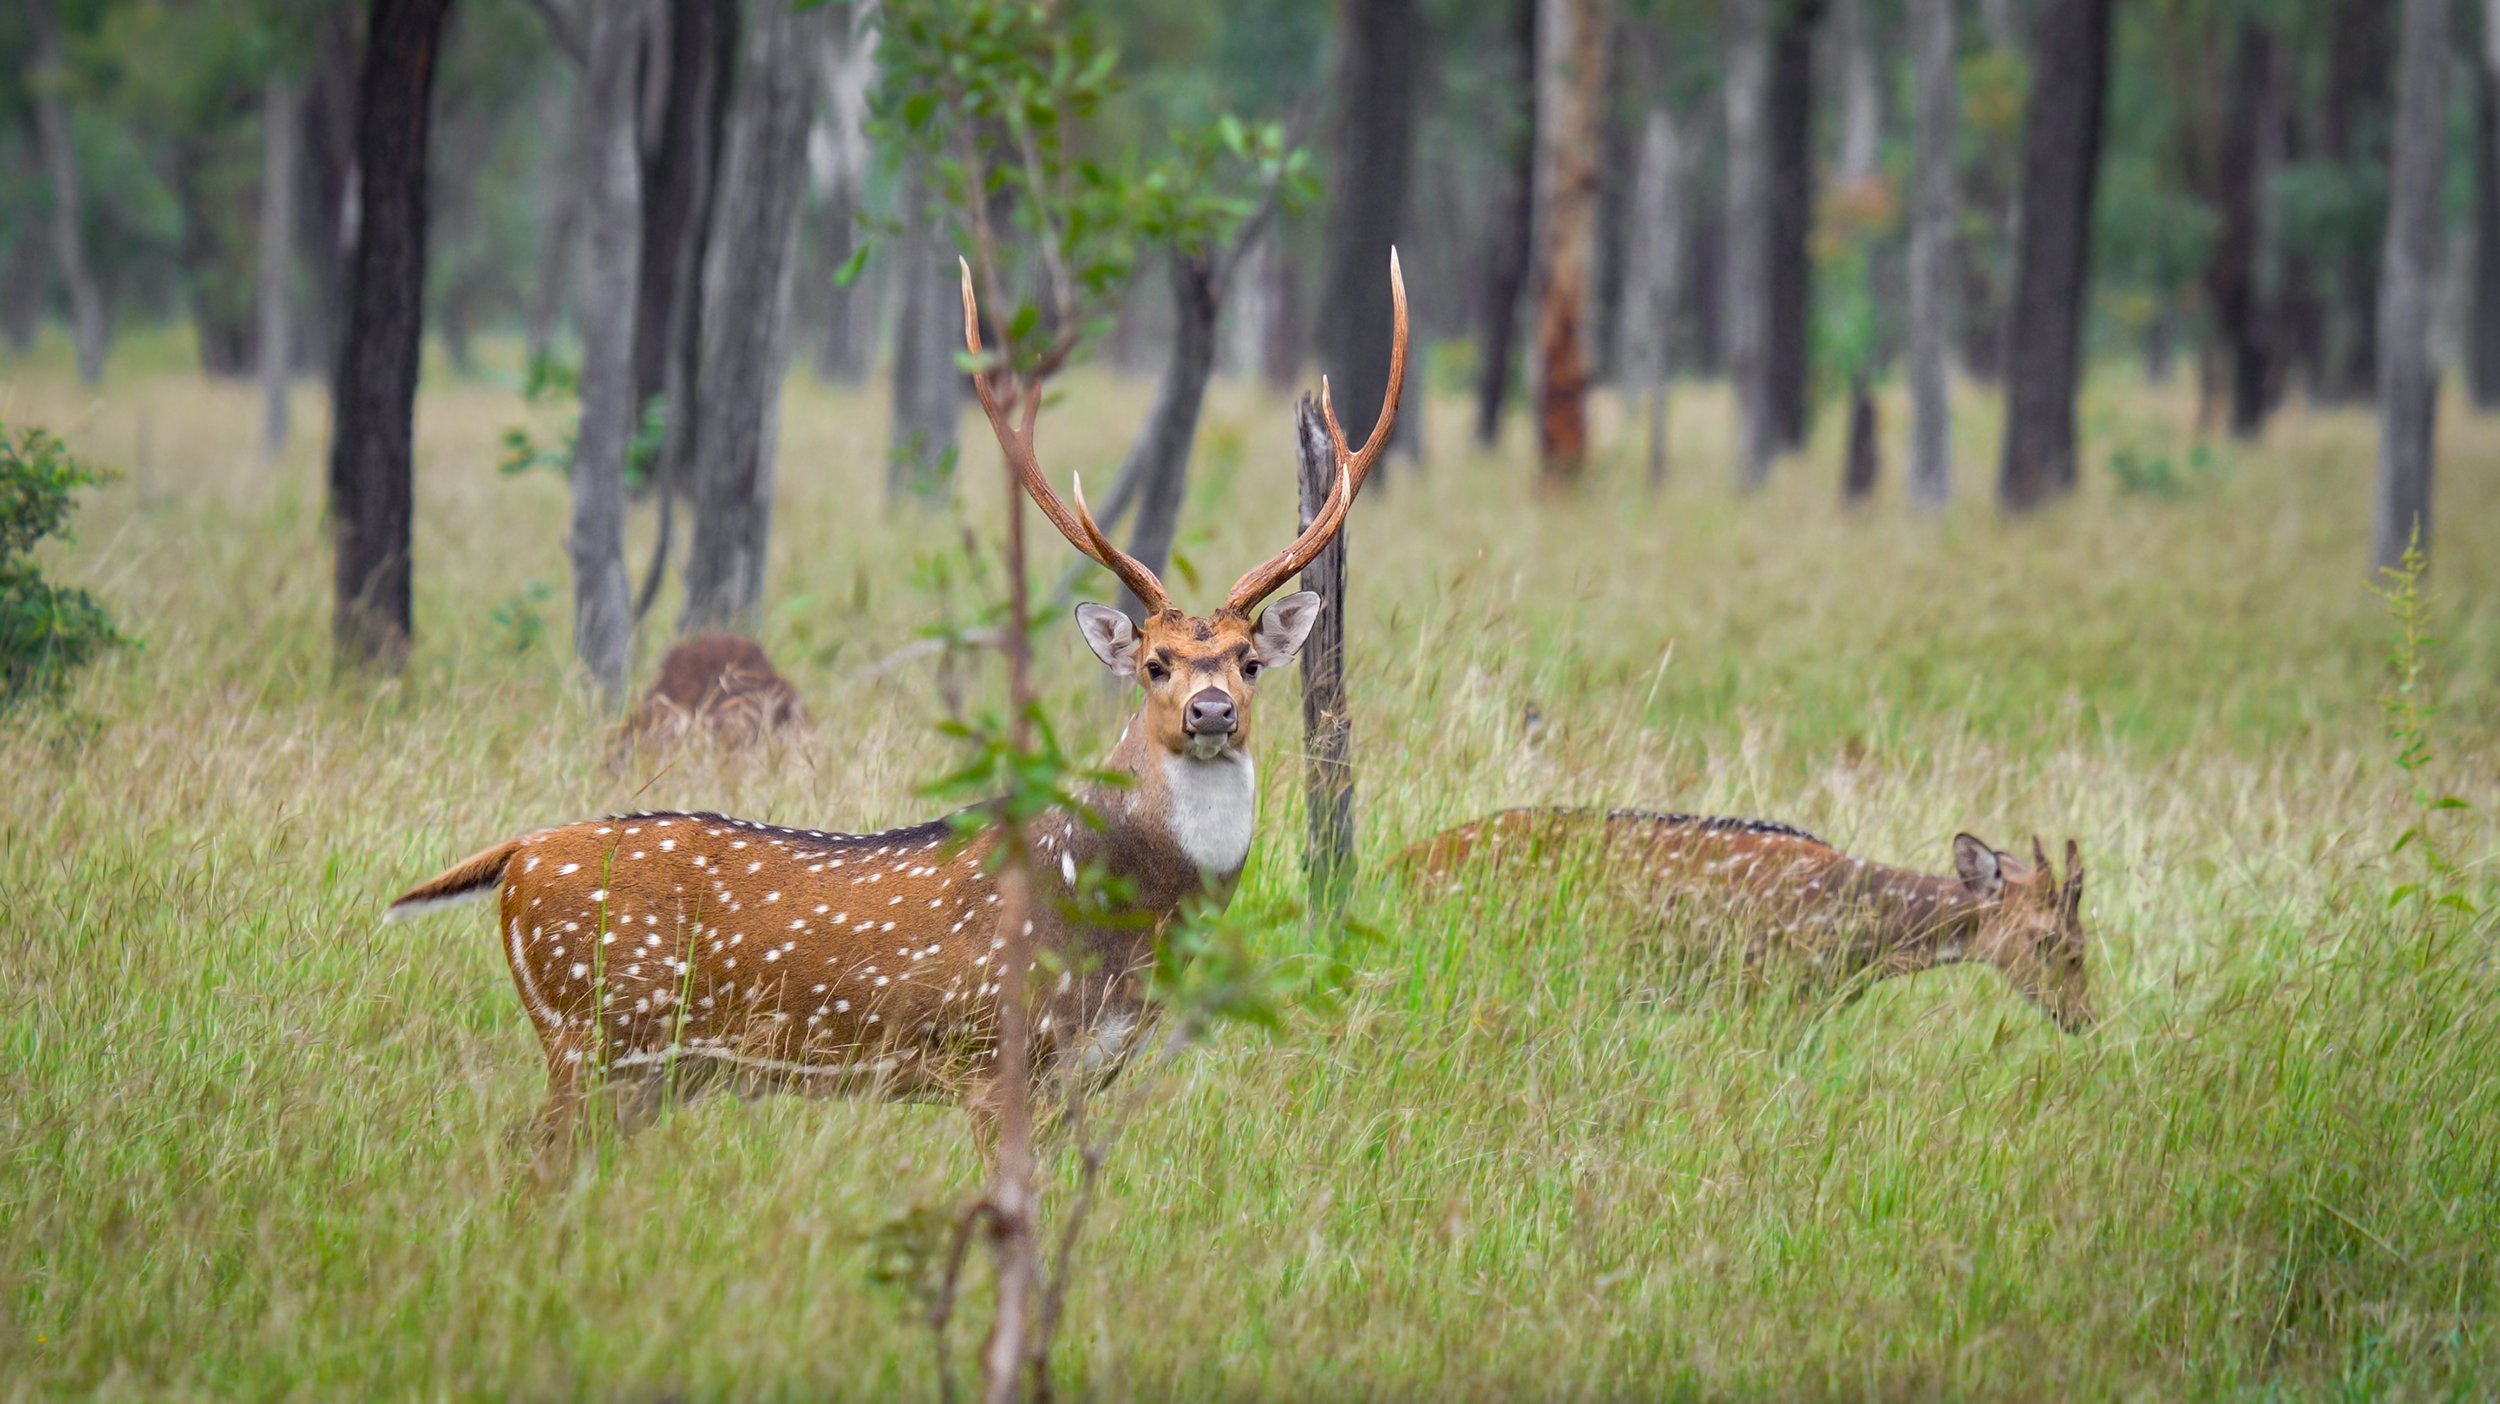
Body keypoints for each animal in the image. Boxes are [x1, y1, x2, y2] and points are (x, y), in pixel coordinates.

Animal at [388, 253, 1409, 1180]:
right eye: (1154, 663)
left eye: (1247, 661)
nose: (1209, 709)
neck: (1125, 917)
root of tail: (517, 857)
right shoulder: (995, 1059)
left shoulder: (1088, 1069)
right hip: (590, 1036)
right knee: (529, 1163)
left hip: (646, 1069)